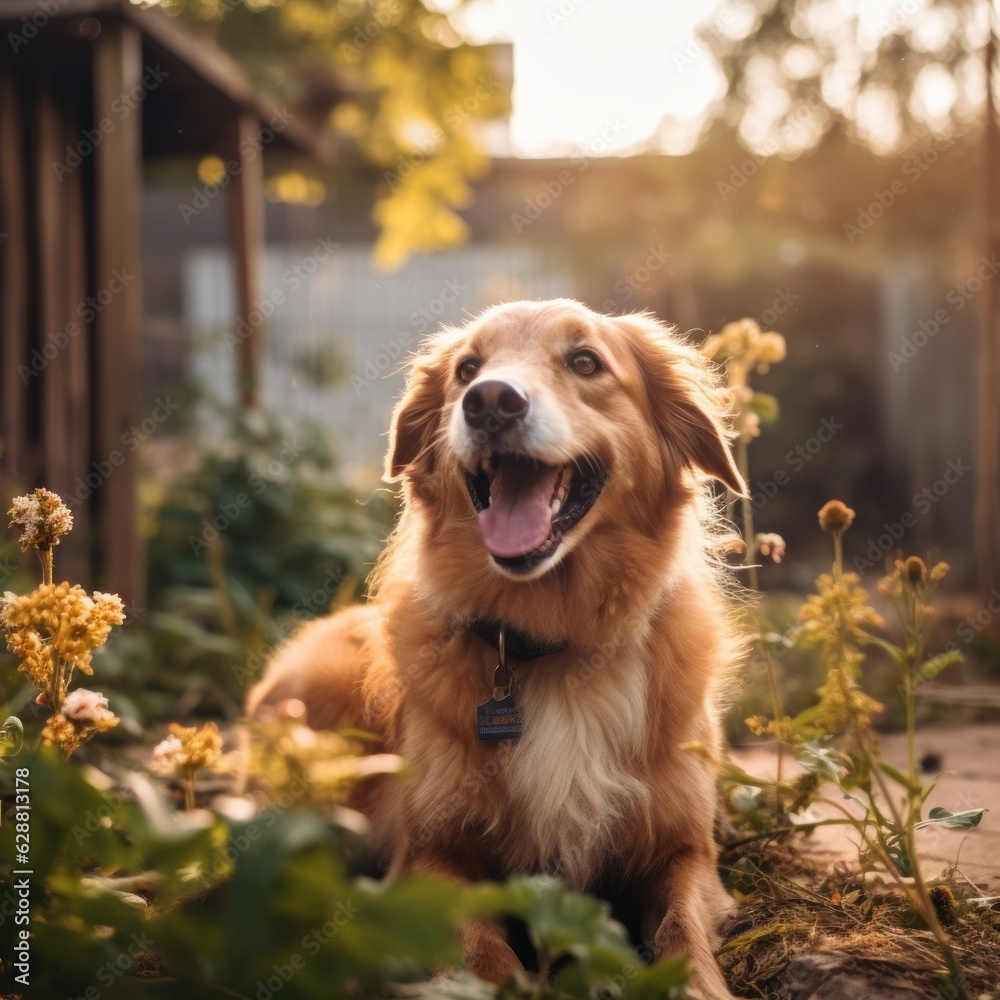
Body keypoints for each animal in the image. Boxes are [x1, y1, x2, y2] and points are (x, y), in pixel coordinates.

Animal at [247, 298, 748, 1000]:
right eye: (467, 369)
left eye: (585, 361)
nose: (489, 402)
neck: (557, 643)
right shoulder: (431, 854)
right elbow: (479, 949)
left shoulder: (683, 851)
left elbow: (682, 928)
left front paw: (698, 984)